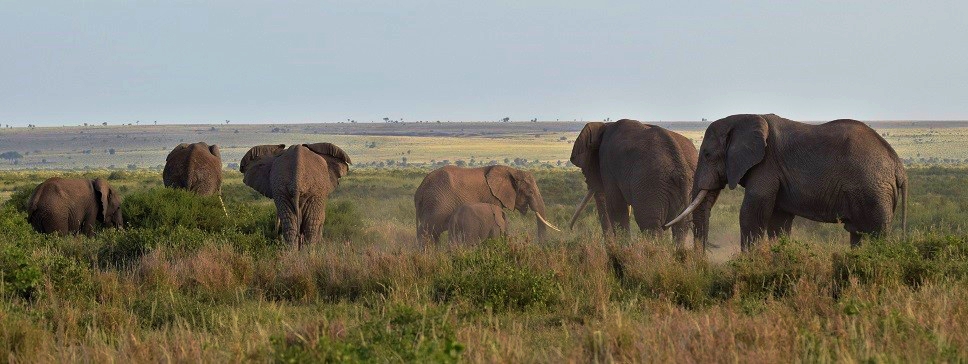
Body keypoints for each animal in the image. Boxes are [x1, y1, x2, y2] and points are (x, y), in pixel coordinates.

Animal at [414, 164, 560, 245]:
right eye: (530, 192)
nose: (541, 246)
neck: (512, 171)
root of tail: (420, 189)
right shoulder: (491, 196)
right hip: (437, 203)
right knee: (428, 231)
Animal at [568, 119, 696, 245]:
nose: (571, 229)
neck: (605, 125)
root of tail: (681, 169)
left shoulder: (608, 167)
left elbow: (615, 207)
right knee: (680, 227)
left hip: (651, 185)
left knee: (650, 224)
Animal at [664, 114, 908, 250]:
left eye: (707, 155)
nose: (702, 261)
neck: (745, 118)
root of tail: (898, 166)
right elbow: (778, 221)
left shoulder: (767, 165)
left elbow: (751, 214)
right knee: (857, 234)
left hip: (873, 191)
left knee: (877, 233)